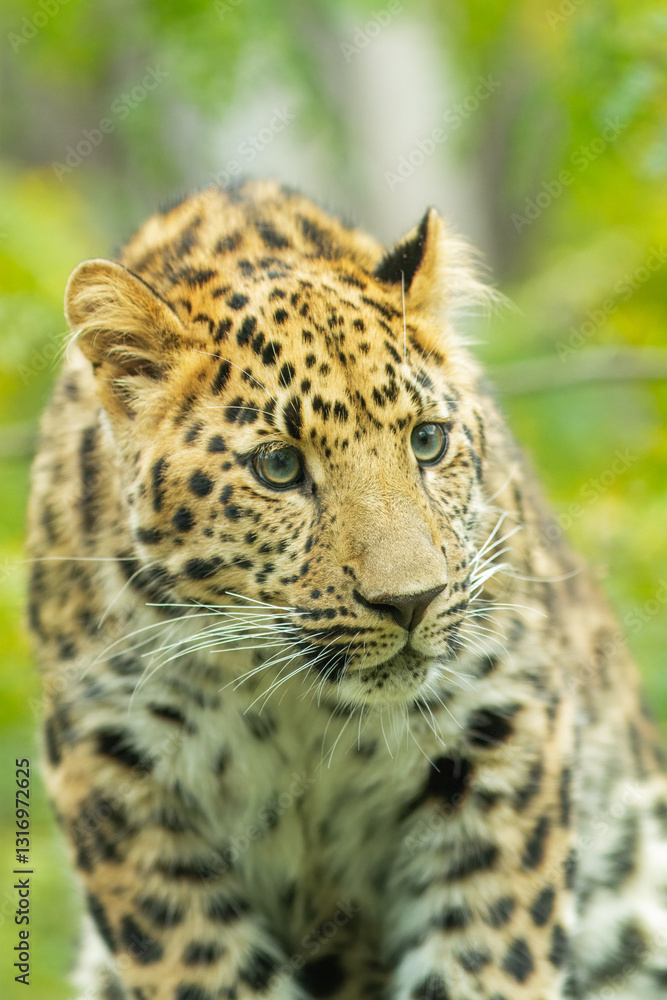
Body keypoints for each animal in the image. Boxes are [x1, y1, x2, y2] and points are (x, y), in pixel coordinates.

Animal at [27, 179, 667, 1000]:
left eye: (427, 441)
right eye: (277, 467)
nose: (412, 601)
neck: (296, 700)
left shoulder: (503, 729)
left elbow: (488, 961)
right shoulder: (114, 766)